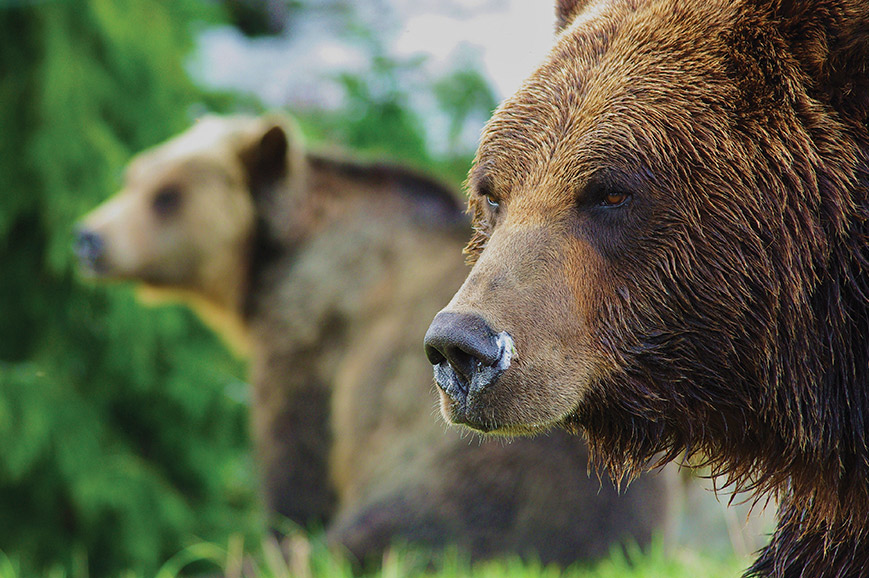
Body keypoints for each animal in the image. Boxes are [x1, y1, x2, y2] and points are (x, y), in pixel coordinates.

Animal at [76, 115, 672, 564]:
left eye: (167, 196)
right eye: (133, 177)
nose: (89, 237)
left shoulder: (314, 336)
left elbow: (296, 459)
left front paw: (282, 532)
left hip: (450, 463)